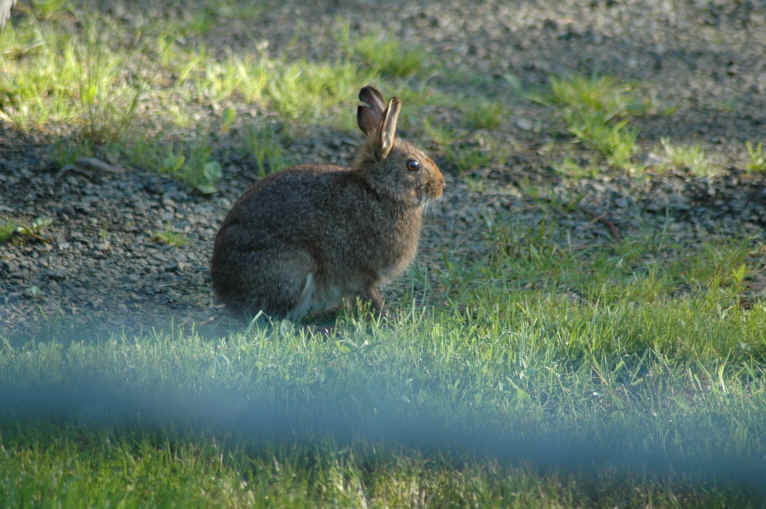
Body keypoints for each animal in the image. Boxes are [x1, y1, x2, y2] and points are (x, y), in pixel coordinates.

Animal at [211, 85, 445, 320]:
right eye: (413, 165)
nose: (441, 186)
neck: (378, 190)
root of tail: (224, 290)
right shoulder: (363, 273)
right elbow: (370, 294)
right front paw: (387, 316)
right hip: (292, 269)